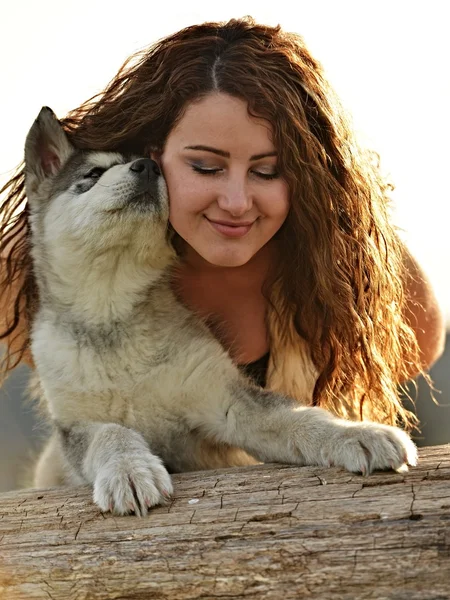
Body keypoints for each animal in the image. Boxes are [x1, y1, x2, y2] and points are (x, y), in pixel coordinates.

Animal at [25, 106, 418, 516]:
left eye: (156, 167)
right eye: (93, 174)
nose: (148, 166)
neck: (114, 308)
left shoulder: (224, 397)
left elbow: (297, 416)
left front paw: (358, 433)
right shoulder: (74, 426)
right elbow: (110, 431)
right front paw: (128, 470)